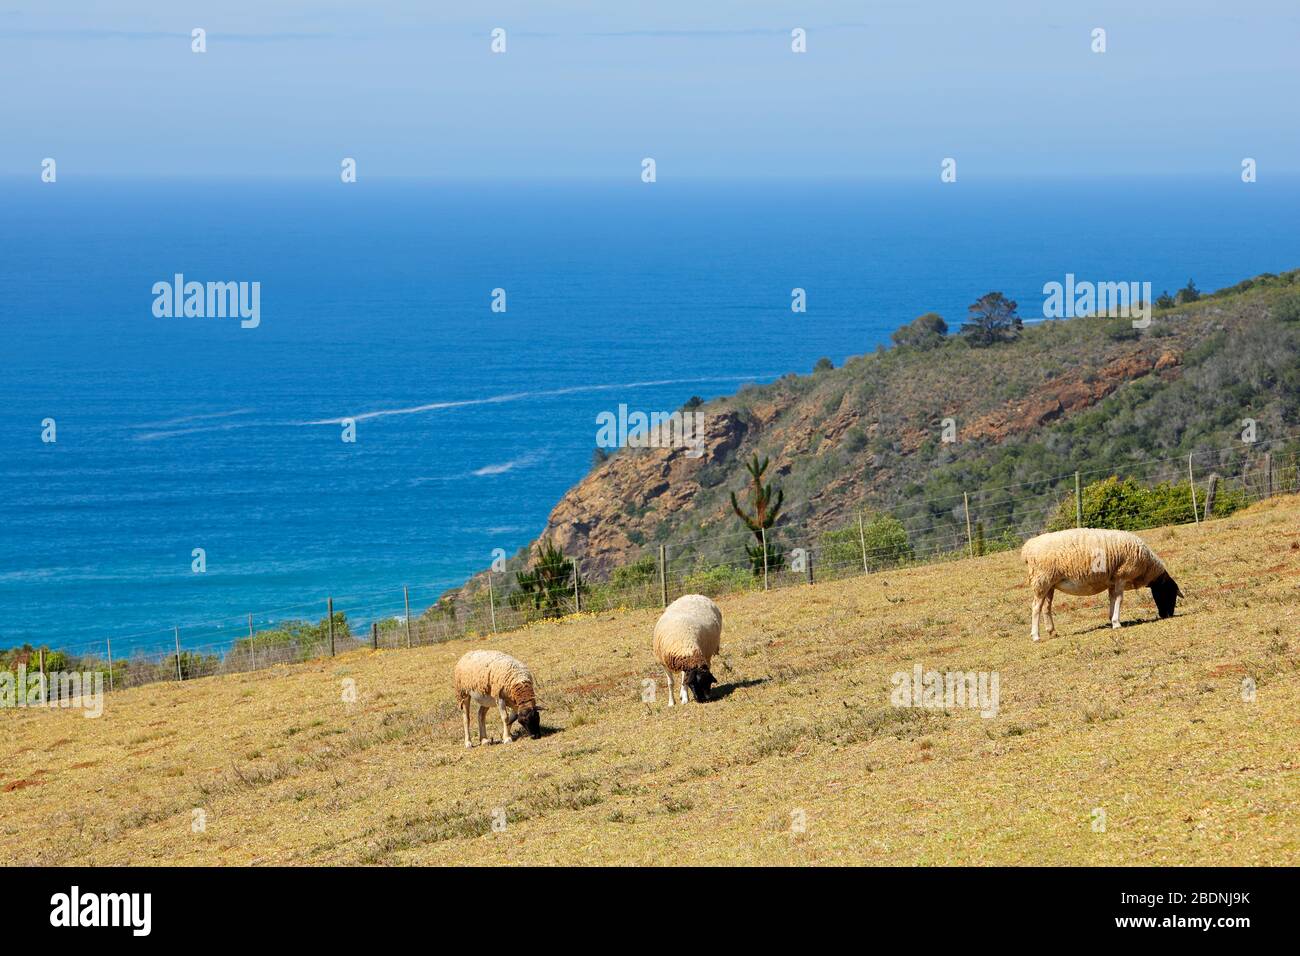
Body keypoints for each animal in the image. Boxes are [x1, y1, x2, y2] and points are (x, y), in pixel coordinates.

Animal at [1020, 528, 1183, 641]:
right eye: (1169, 593)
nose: (1167, 615)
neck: (1147, 567)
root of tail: (1027, 548)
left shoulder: (1112, 580)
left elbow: (1112, 599)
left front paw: (1112, 618)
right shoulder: (1121, 576)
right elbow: (1119, 599)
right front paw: (1116, 623)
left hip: (1050, 583)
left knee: (1046, 607)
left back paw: (1052, 631)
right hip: (1042, 579)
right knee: (1036, 607)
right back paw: (1036, 636)